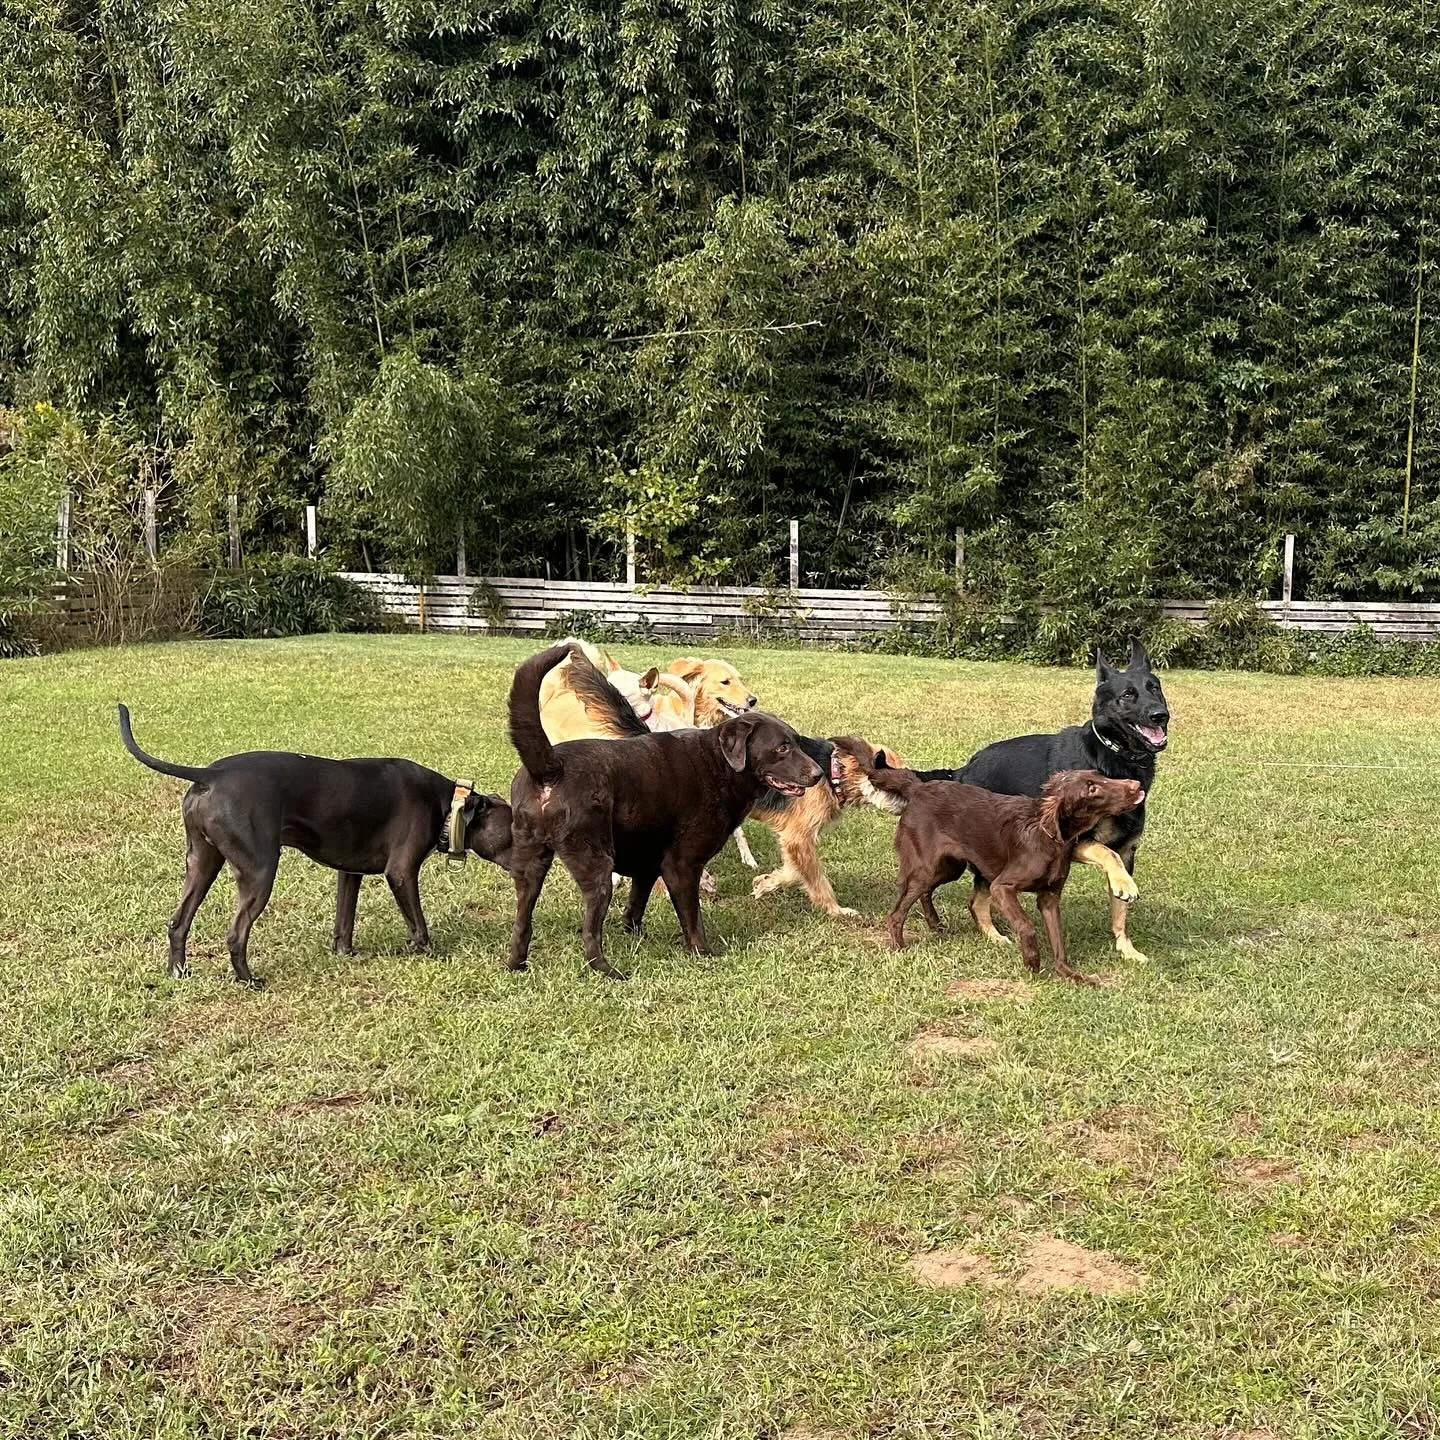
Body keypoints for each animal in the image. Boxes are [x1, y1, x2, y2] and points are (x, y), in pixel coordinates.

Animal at [118, 708, 512, 990]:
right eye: (514, 830)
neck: (448, 805)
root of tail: (208, 775)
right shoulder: (401, 873)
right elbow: (418, 922)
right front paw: (426, 951)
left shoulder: (349, 873)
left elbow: (344, 921)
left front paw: (346, 954)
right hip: (259, 871)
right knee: (236, 932)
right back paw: (248, 980)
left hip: (203, 862)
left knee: (178, 921)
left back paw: (178, 972)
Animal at [910, 639, 1169, 956]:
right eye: (1128, 695)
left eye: (1155, 688)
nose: (1160, 715)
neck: (1113, 754)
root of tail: (963, 770)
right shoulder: (1075, 843)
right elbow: (1107, 854)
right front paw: (1126, 887)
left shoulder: (1127, 851)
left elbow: (1119, 909)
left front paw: (1126, 949)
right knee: (974, 897)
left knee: (978, 900)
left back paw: (994, 936)